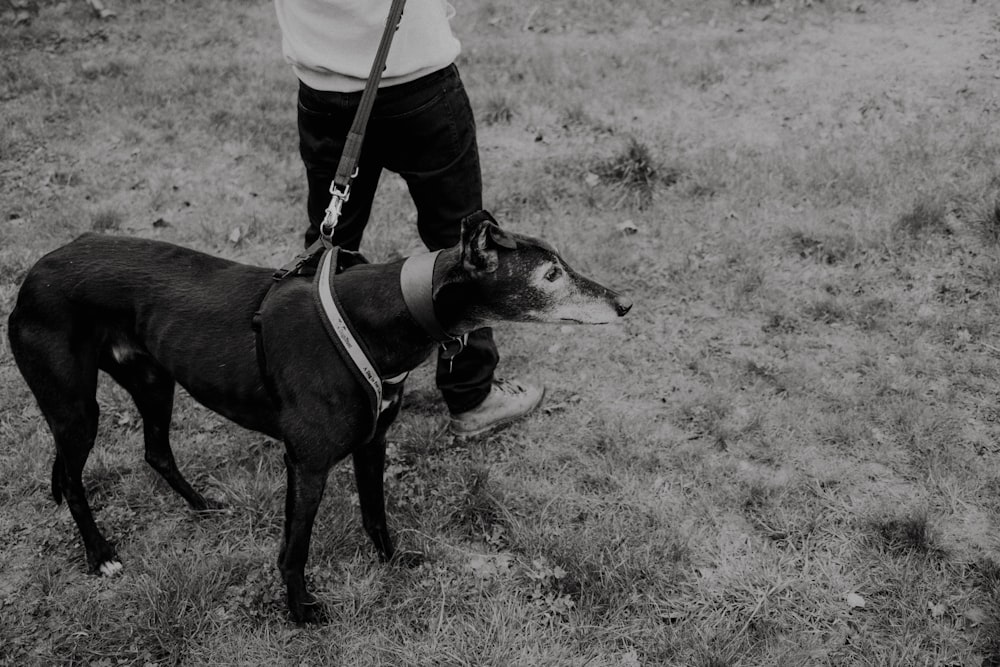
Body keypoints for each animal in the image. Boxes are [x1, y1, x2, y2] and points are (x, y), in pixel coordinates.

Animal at [7, 211, 628, 624]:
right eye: (550, 275)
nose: (625, 303)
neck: (382, 315)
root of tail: (35, 270)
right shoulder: (307, 464)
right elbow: (294, 549)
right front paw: (301, 611)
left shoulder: (372, 443)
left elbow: (377, 517)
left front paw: (394, 565)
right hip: (75, 406)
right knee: (73, 479)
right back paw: (101, 555)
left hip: (154, 381)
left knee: (155, 450)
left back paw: (203, 507)